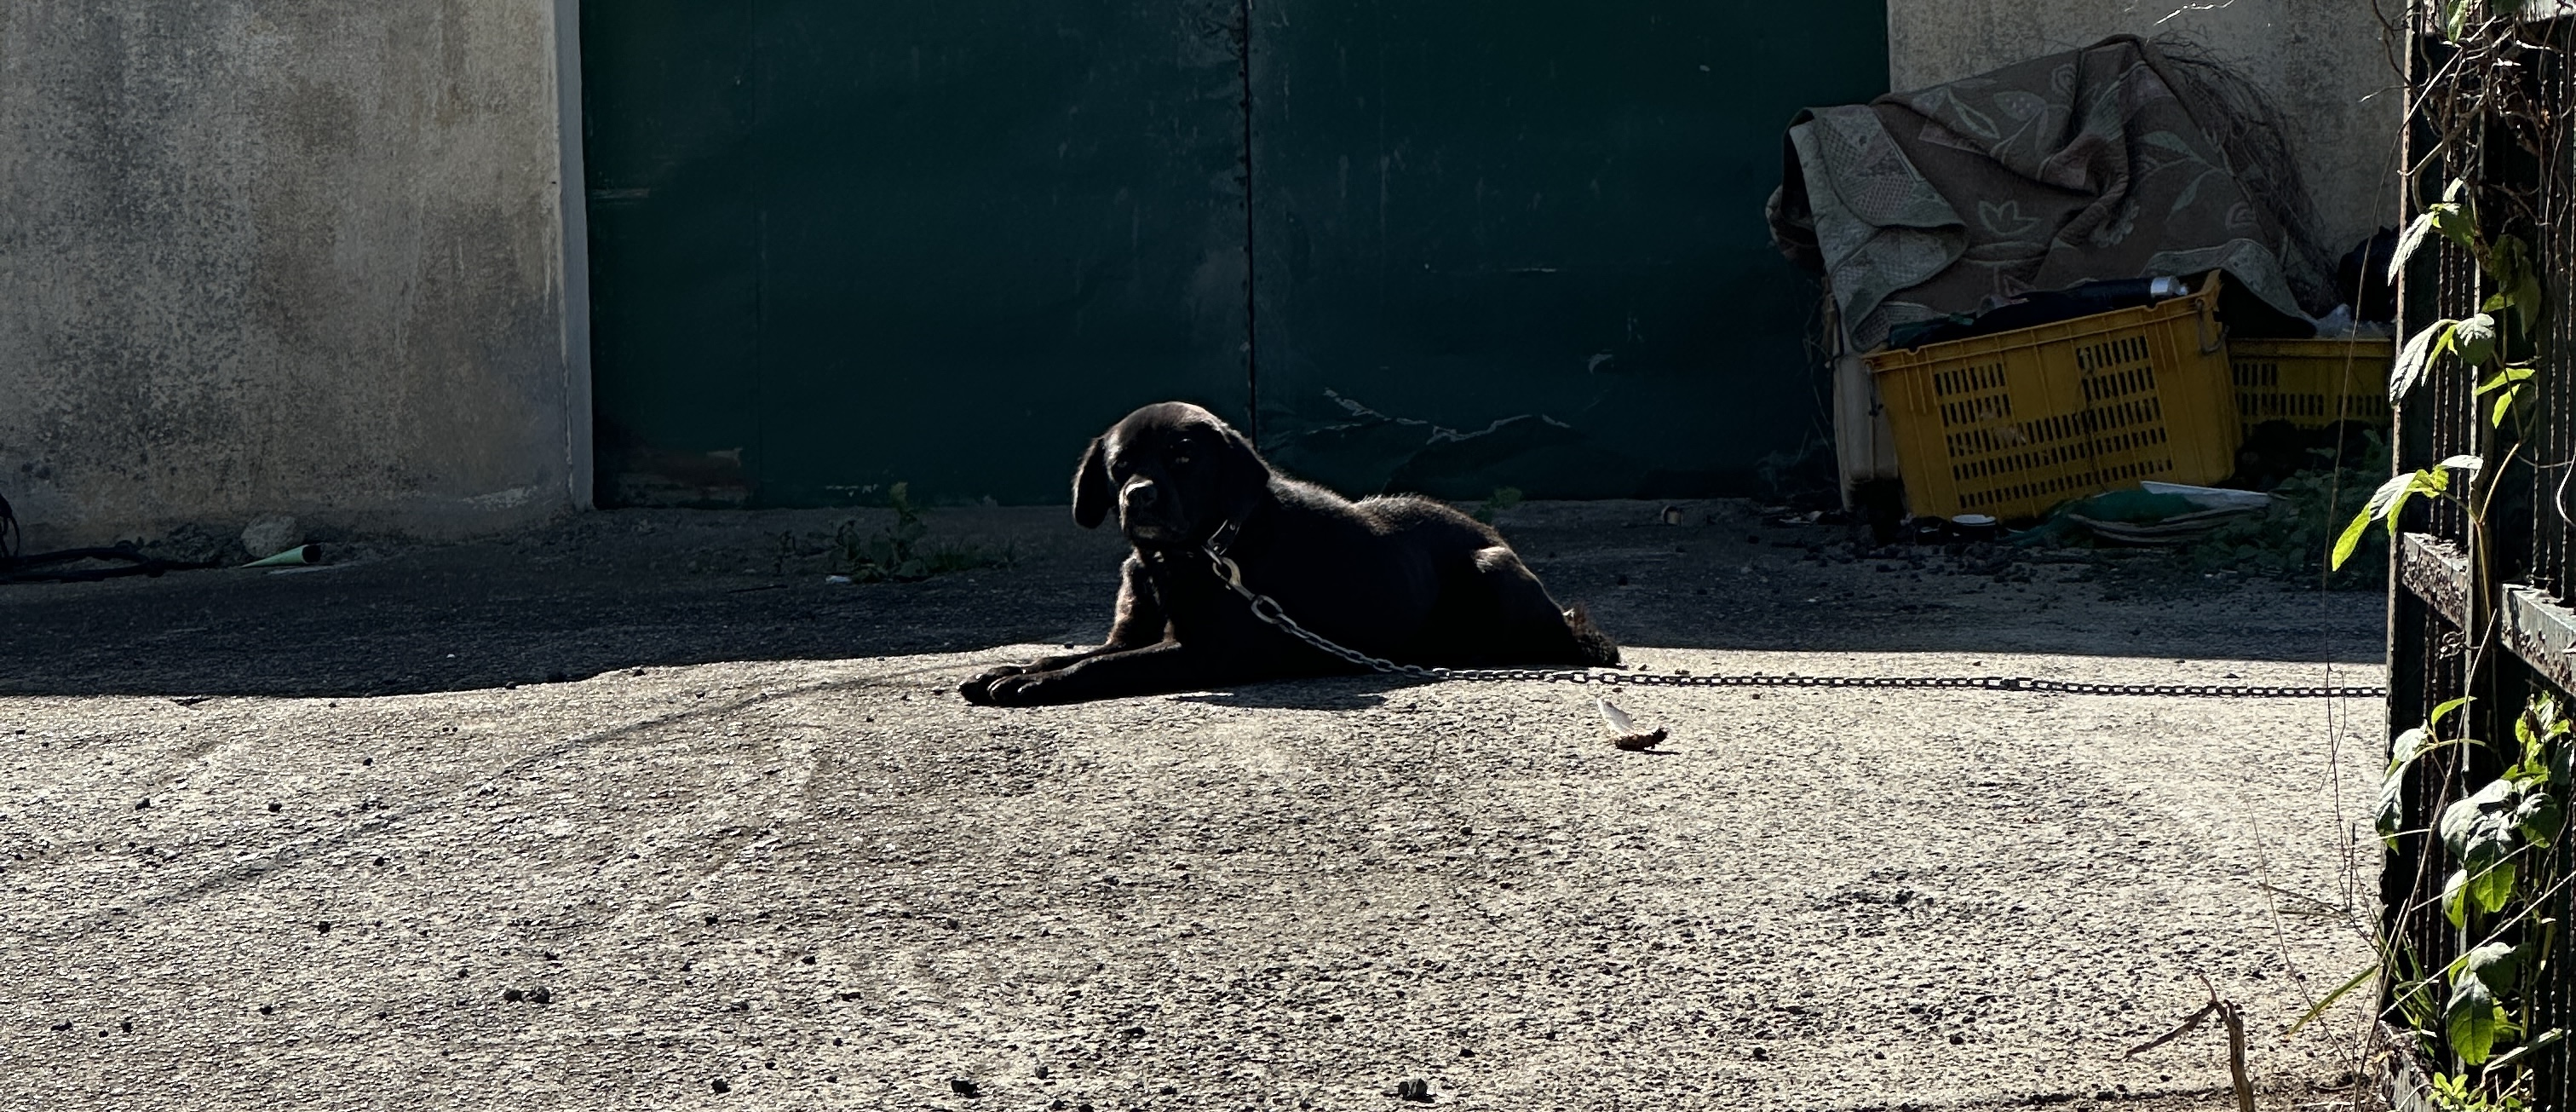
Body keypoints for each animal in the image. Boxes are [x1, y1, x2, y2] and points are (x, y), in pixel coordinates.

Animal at [960, 401, 1618, 705]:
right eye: (1120, 465)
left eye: (1182, 457)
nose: (1137, 496)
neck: (1193, 555)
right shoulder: (1134, 634)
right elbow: (1078, 653)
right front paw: (1007, 669)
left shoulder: (1202, 653)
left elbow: (1098, 667)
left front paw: (1033, 684)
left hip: (1491, 569)